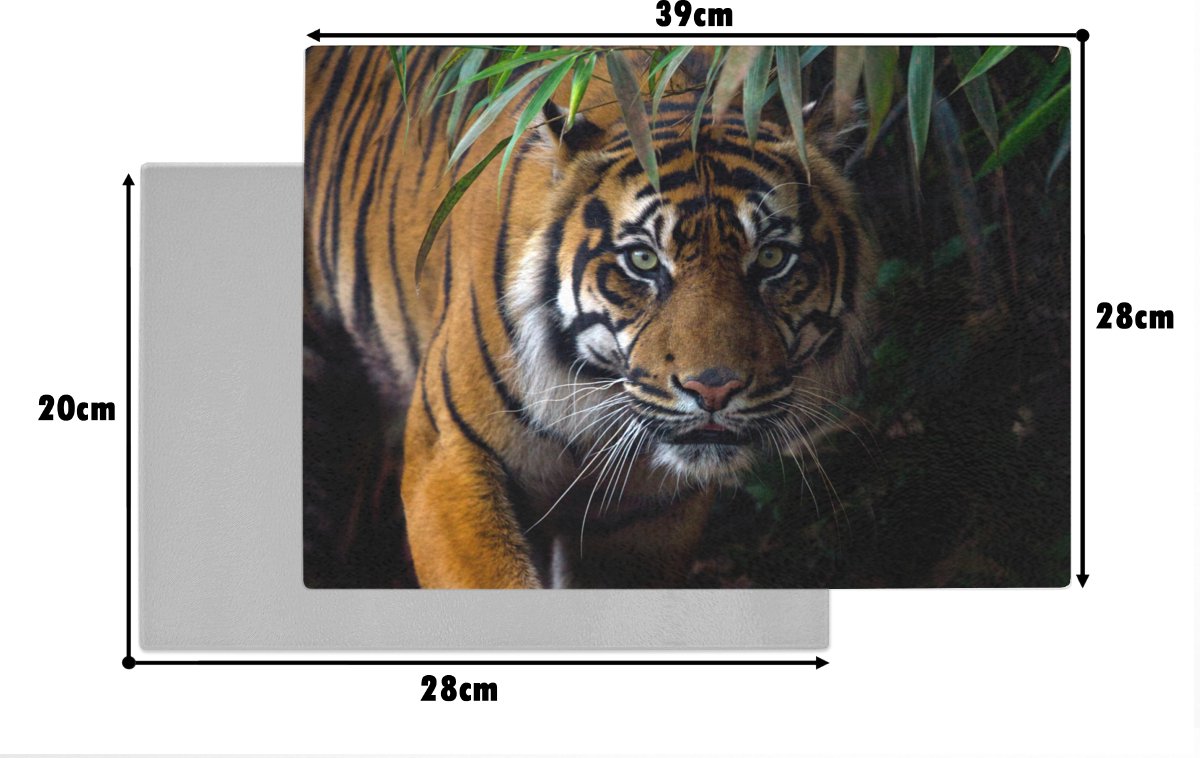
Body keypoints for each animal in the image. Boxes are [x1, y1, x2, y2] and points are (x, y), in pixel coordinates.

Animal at [305, 46, 877, 588]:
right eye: (643, 260)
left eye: (772, 258)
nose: (713, 389)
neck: (594, 399)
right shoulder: (448, 452)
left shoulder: (646, 514)